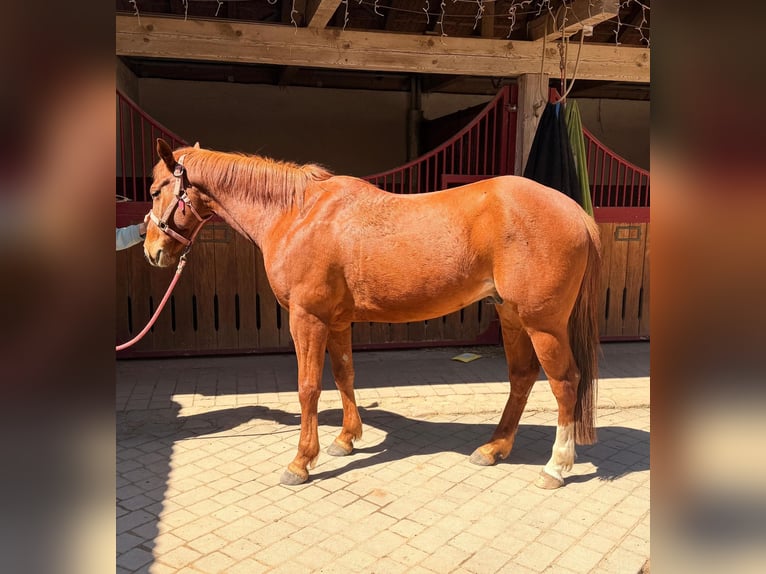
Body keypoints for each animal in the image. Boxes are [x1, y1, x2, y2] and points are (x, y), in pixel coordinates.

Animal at [143, 138, 602, 489]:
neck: (298, 213)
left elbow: (308, 386)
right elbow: (344, 374)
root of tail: (576, 212)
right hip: (511, 317)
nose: (152, 251)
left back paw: (556, 467)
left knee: (565, 383)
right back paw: (494, 448)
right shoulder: (336, 321)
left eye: (154, 190)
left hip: (543, 324)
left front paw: (300, 462)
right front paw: (346, 439)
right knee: (522, 377)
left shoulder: (307, 319)